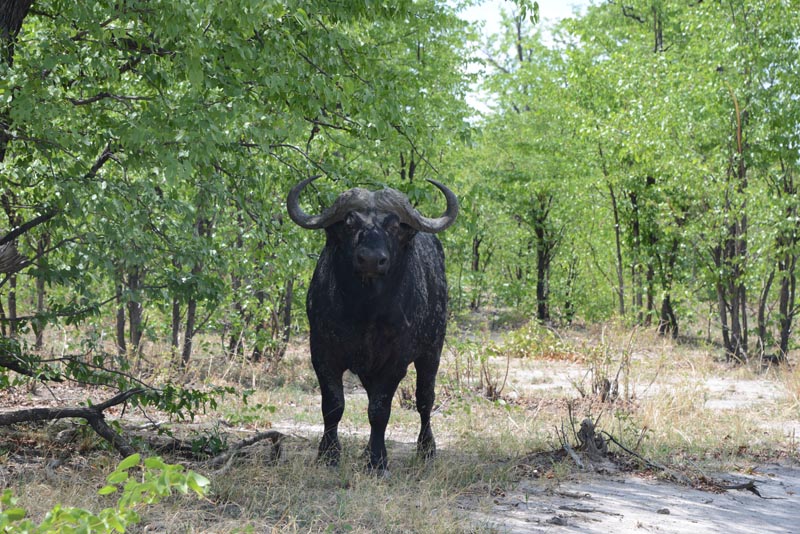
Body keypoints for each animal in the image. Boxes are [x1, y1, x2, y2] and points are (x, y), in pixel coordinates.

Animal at [286, 176, 458, 473]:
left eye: (394, 225)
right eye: (349, 222)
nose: (370, 259)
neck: (365, 311)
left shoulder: (395, 362)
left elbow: (380, 410)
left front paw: (378, 461)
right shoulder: (322, 353)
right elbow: (333, 405)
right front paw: (329, 454)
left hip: (432, 352)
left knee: (425, 400)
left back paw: (426, 449)